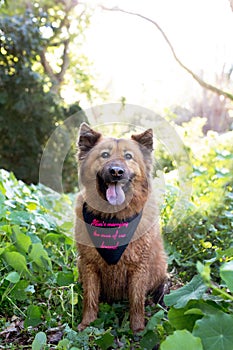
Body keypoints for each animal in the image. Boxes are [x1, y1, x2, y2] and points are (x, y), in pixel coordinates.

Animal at [75, 123, 167, 334]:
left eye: (128, 156)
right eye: (104, 155)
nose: (116, 172)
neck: (113, 217)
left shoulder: (139, 267)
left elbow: (136, 302)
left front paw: (138, 329)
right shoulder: (88, 264)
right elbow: (90, 298)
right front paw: (87, 324)